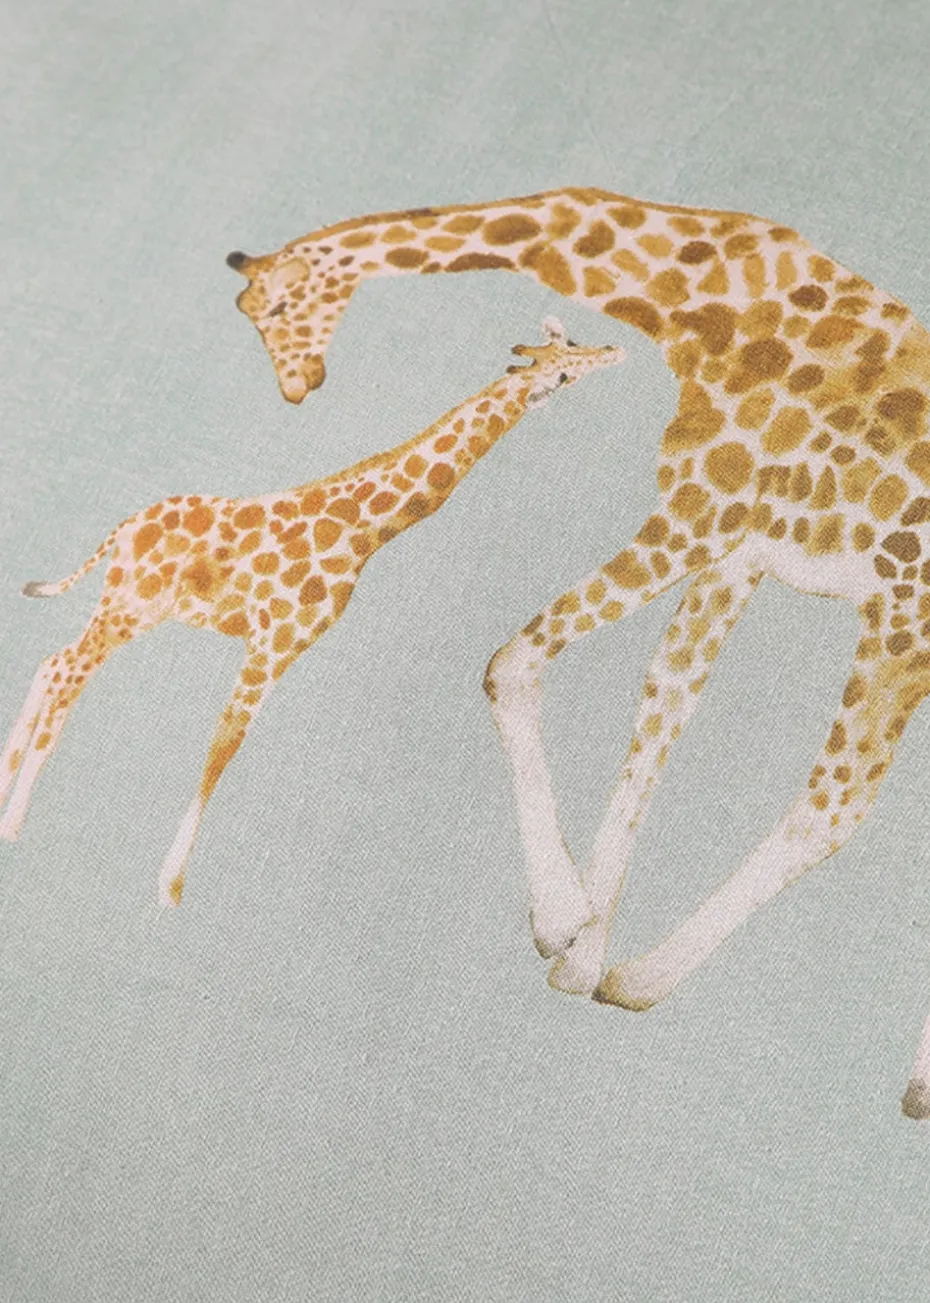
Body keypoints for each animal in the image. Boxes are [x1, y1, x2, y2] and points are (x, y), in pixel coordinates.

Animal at [0, 319, 624, 909]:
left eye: (574, 341)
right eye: (561, 374)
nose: (615, 352)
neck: (361, 530)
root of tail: (123, 529)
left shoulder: (286, 646)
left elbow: (223, 742)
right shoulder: (274, 641)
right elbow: (224, 744)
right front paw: (170, 888)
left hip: (127, 607)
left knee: (54, 664)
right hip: (133, 604)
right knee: (65, 674)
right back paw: (15, 821)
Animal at [226, 186, 930, 1118]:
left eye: (275, 307)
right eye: (251, 315)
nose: (297, 387)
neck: (693, 302)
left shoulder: (700, 510)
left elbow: (513, 662)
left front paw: (564, 925)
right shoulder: (733, 548)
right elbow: (658, 718)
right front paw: (582, 945)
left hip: (902, 614)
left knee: (833, 803)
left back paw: (650, 979)